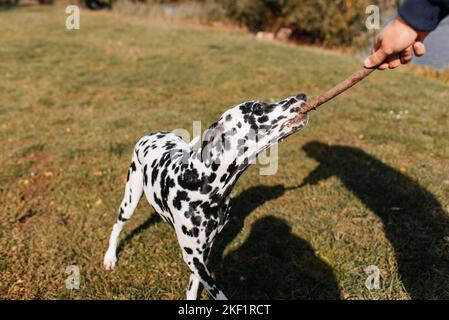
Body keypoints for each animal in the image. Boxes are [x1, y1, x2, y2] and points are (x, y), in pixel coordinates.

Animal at [103, 93, 308, 300]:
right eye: (257, 108)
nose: (301, 96)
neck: (201, 181)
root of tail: (152, 134)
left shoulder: (203, 251)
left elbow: (193, 285)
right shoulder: (193, 257)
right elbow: (217, 292)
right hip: (130, 199)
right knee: (117, 226)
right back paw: (110, 257)